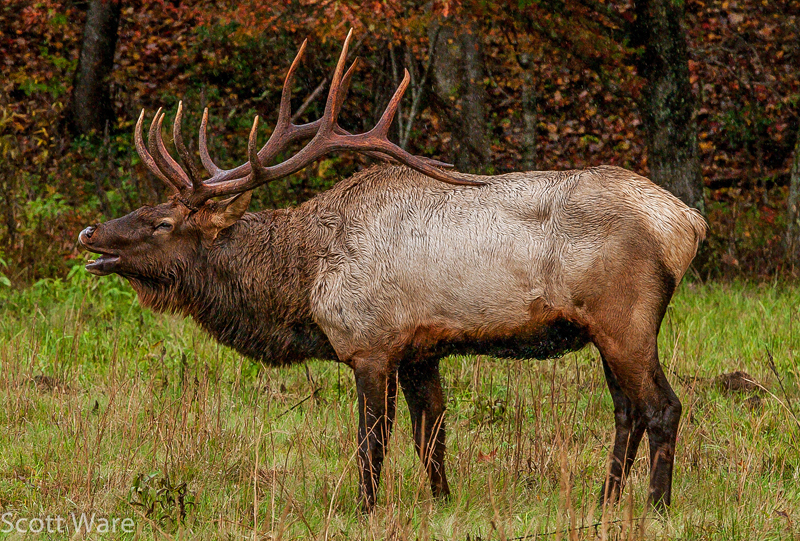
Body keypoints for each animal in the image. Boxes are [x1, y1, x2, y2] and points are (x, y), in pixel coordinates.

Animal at [78, 31, 707, 513]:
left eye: (161, 222)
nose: (89, 234)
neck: (303, 282)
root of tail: (687, 223)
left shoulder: (370, 343)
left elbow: (372, 442)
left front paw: (365, 509)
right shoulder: (421, 349)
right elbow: (432, 438)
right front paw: (443, 502)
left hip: (626, 318)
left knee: (662, 407)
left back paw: (655, 507)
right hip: (602, 330)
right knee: (626, 410)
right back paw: (605, 500)